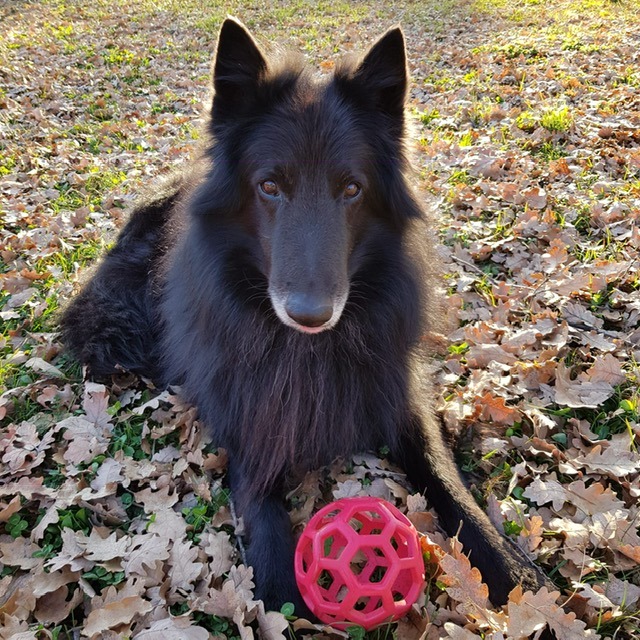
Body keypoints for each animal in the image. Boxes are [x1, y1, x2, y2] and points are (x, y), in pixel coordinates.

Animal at [62, 18, 548, 608]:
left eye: (352, 188)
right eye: (269, 186)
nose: (310, 315)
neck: (307, 351)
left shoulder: (399, 393)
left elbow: (444, 475)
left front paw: (511, 568)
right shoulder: (250, 414)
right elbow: (265, 537)